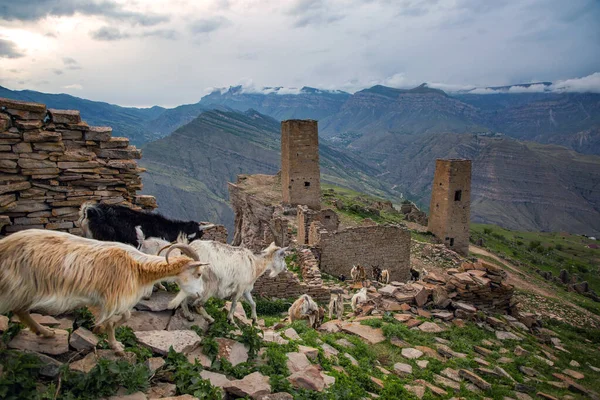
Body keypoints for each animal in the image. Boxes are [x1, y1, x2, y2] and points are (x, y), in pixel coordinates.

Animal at [0, 230, 207, 354]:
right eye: (198, 273)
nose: (199, 295)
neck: (137, 266)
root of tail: (4, 245)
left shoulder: (106, 299)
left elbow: (124, 317)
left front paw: (99, 329)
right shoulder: (111, 298)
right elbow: (112, 321)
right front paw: (116, 345)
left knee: (20, 310)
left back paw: (45, 332)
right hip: (19, 286)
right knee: (19, 309)